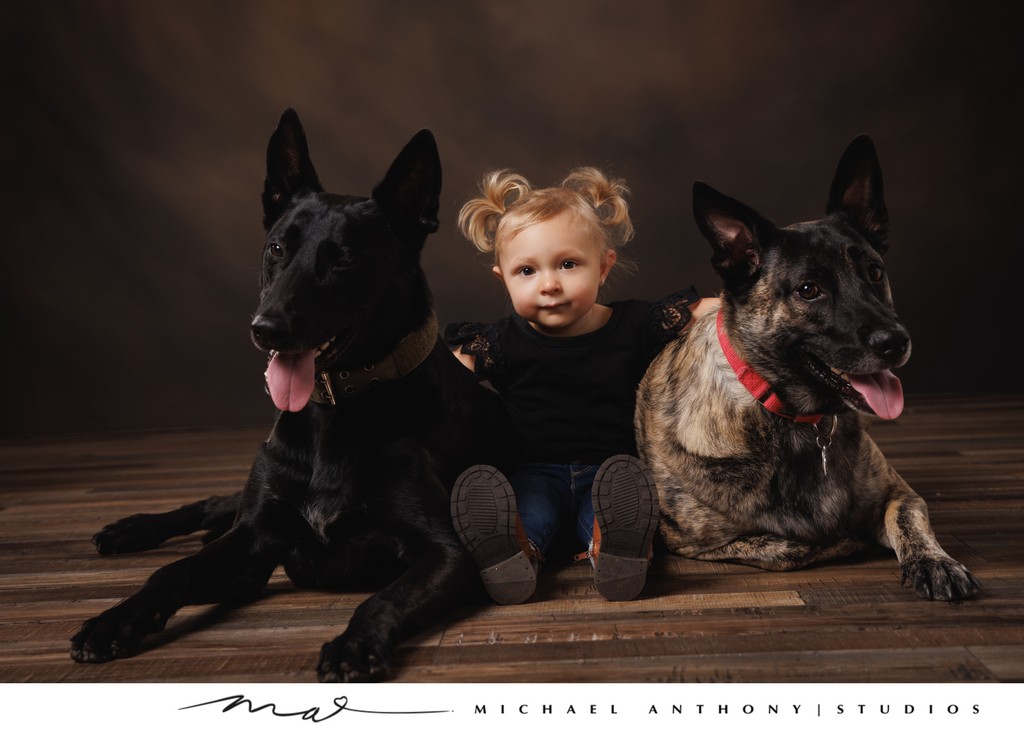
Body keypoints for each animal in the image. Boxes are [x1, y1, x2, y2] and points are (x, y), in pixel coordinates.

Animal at [70, 109, 509, 679]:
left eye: (343, 261)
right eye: (277, 248)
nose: (265, 329)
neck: (334, 413)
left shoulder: (448, 554)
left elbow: (383, 597)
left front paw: (353, 644)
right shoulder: (252, 542)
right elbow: (171, 573)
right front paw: (114, 620)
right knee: (215, 503)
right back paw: (130, 529)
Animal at [634, 137, 978, 601]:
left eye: (874, 272)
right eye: (808, 290)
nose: (896, 342)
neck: (786, 415)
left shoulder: (898, 492)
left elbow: (908, 518)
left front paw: (934, 561)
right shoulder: (690, 541)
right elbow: (791, 546)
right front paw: (847, 541)